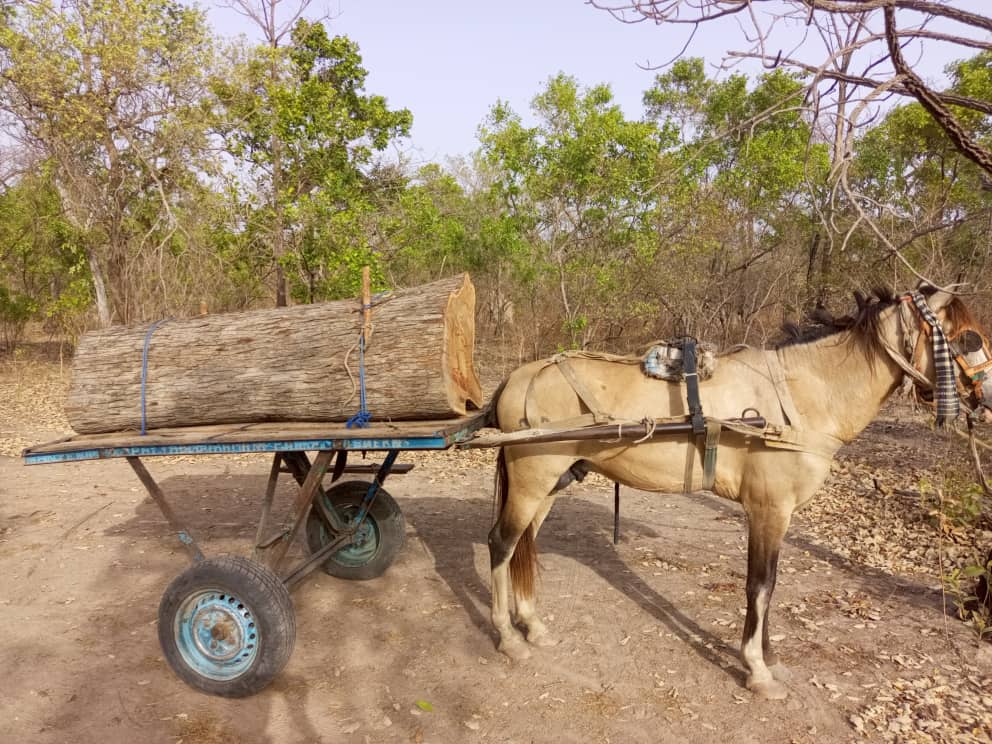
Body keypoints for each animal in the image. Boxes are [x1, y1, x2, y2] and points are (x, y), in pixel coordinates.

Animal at [486, 284, 992, 696]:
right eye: (970, 339)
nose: (985, 400)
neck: (798, 398)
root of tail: (517, 377)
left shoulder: (776, 514)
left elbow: (770, 584)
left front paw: (769, 659)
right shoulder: (769, 509)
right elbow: (760, 586)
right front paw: (757, 670)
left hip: (549, 485)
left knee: (525, 543)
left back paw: (532, 626)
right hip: (532, 482)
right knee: (501, 544)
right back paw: (509, 638)